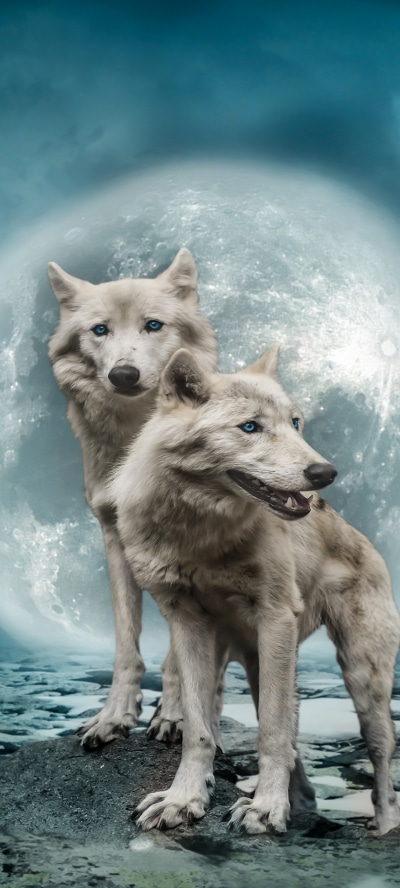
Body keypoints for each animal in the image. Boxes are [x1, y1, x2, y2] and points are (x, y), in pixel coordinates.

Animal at [48, 249, 218, 747]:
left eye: (153, 325)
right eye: (100, 329)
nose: (123, 374)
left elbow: (181, 654)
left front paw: (176, 715)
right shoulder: (114, 537)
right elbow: (126, 645)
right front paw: (113, 717)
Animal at [112, 345, 400, 836]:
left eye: (296, 423)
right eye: (250, 427)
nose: (324, 472)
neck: (202, 537)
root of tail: (358, 533)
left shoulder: (275, 617)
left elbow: (272, 734)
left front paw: (265, 809)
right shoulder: (185, 622)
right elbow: (198, 728)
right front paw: (183, 799)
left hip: (362, 678)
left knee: (379, 756)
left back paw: (381, 825)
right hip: (255, 662)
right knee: (292, 744)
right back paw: (299, 803)